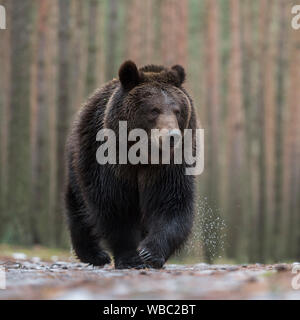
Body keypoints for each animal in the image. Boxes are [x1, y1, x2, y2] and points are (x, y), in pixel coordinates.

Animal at [64, 60, 198, 270]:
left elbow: (171, 203)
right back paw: (95, 254)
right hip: (79, 162)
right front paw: (130, 258)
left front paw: (150, 253)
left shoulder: (169, 167)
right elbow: (115, 206)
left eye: (177, 110)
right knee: (79, 208)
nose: (172, 136)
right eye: (154, 109)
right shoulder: (110, 162)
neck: (143, 154)